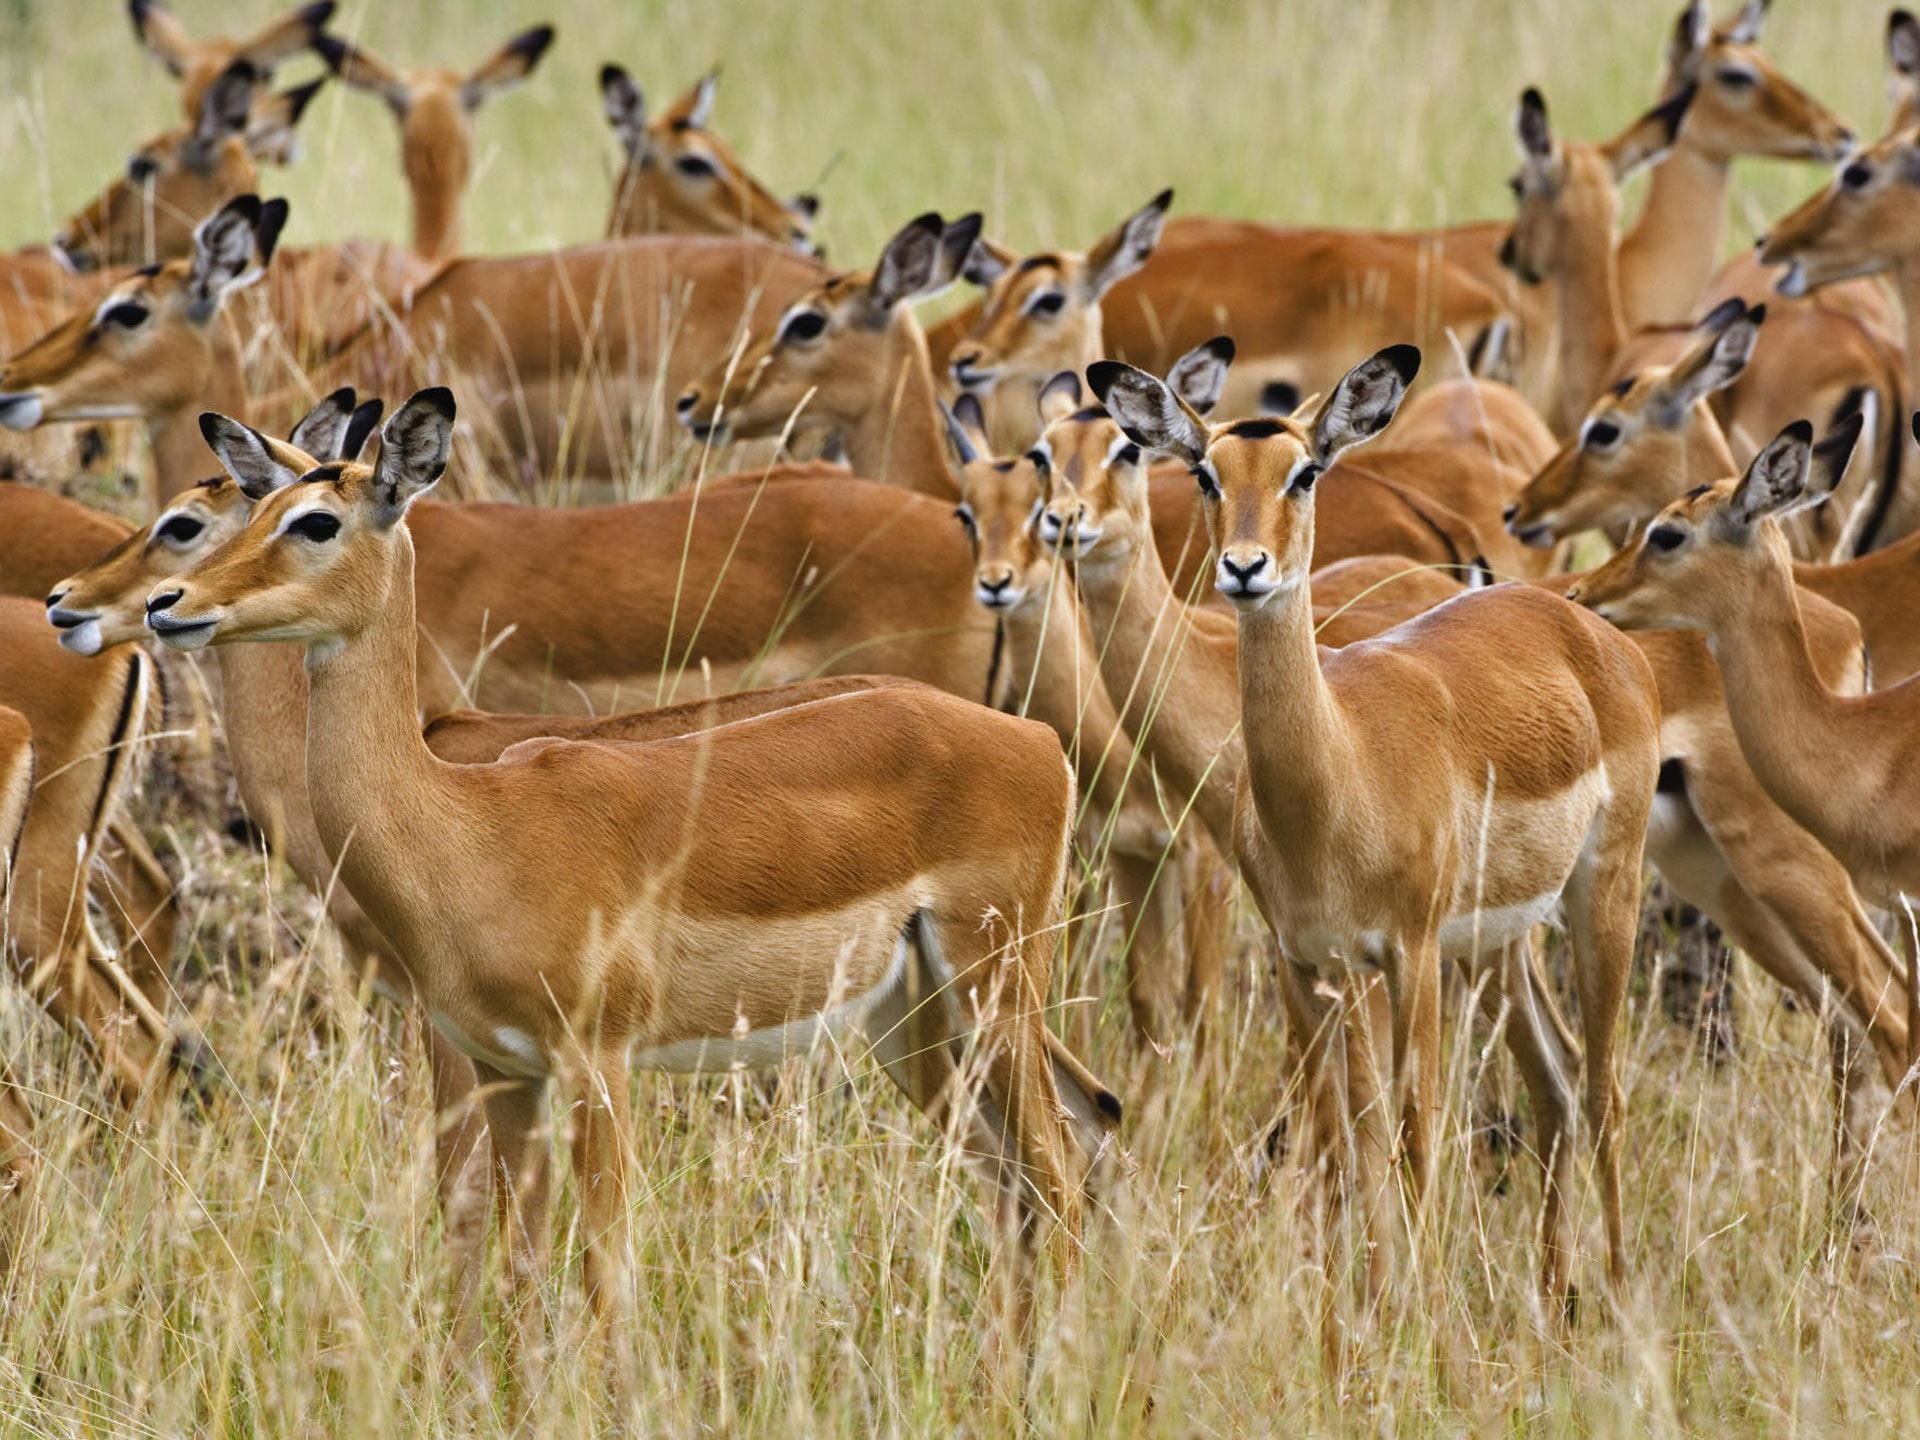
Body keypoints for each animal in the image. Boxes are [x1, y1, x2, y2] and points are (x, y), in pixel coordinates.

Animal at [143, 385, 1117, 1370]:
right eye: (253, 508)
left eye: (315, 520)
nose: (165, 604)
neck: (466, 824)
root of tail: (1037, 742)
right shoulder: (506, 1069)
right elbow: (520, 1269)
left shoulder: (596, 1064)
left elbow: (603, 1273)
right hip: (909, 1020)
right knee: (1028, 1170)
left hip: (994, 991)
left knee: (1058, 1166)